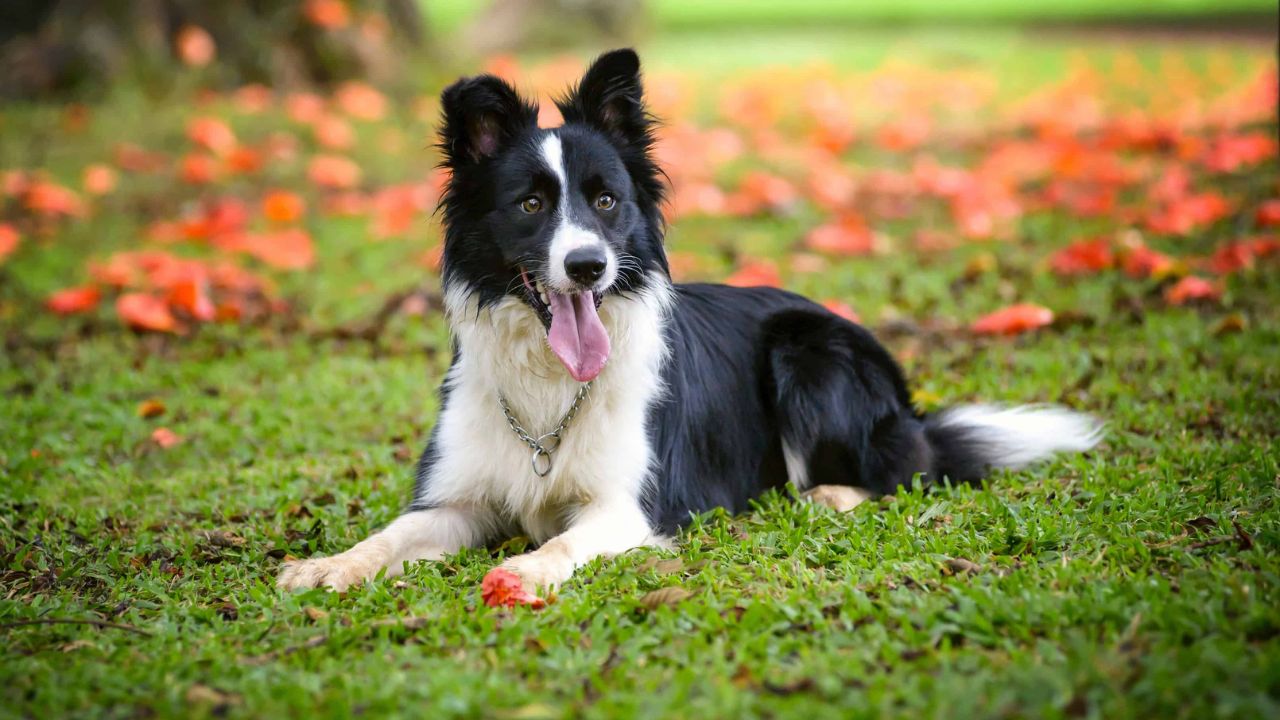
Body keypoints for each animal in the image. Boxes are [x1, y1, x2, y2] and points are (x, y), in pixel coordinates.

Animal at [277, 47, 1100, 591]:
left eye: (607, 200)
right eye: (531, 204)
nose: (588, 268)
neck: (549, 387)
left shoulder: (631, 506)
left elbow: (559, 545)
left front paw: (524, 571)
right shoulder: (456, 500)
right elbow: (390, 533)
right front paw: (325, 565)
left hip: (809, 353)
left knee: (904, 471)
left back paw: (827, 495)